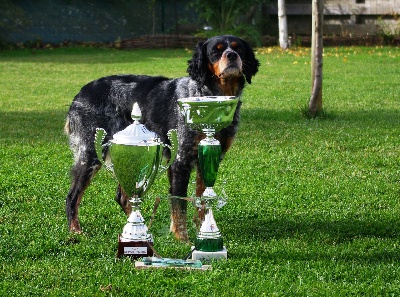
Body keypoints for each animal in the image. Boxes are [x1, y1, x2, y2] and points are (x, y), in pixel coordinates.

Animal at [65, 34, 260, 240]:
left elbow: (202, 199)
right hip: (91, 154)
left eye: (239, 49)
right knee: (72, 197)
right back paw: (76, 230)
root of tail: (80, 94)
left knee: (122, 196)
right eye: (216, 51)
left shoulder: (208, 157)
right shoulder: (180, 161)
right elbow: (179, 205)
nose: (231, 56)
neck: (213, 98)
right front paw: (182, 238)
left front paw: (204, 229)